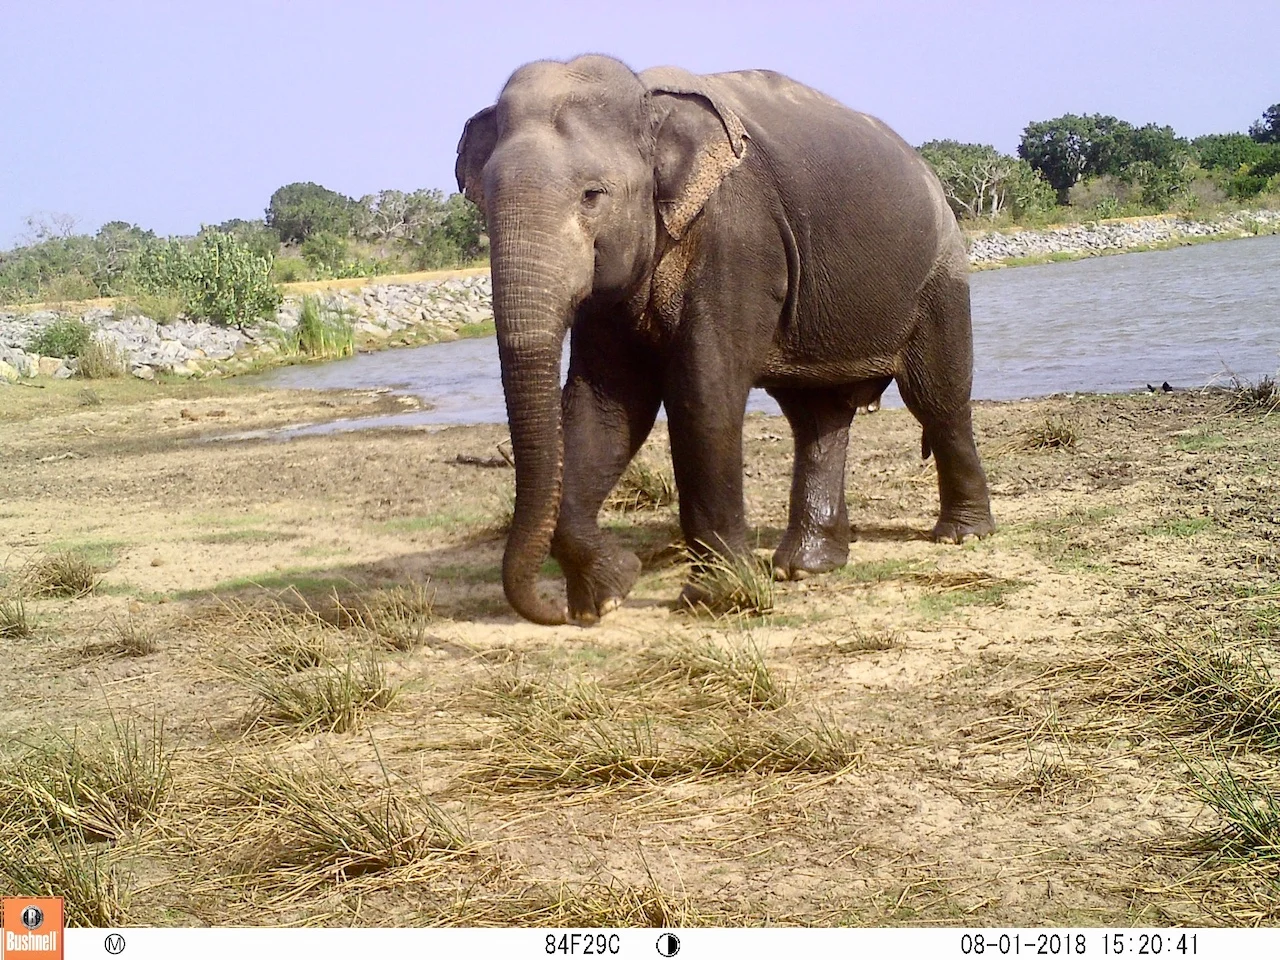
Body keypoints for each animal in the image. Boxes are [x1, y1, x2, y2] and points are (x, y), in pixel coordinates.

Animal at [455, 54, 993, 632]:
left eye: (592, 195)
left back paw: (960, 535)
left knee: (936, 399)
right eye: (485, 202)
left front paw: (716, 599)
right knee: (817, 418)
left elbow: (703, 391)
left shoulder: (738, 239)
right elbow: (604, 406)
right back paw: (804, 567)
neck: (649, 102)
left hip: (940, 275)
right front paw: (608, 595)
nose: (553, 611)